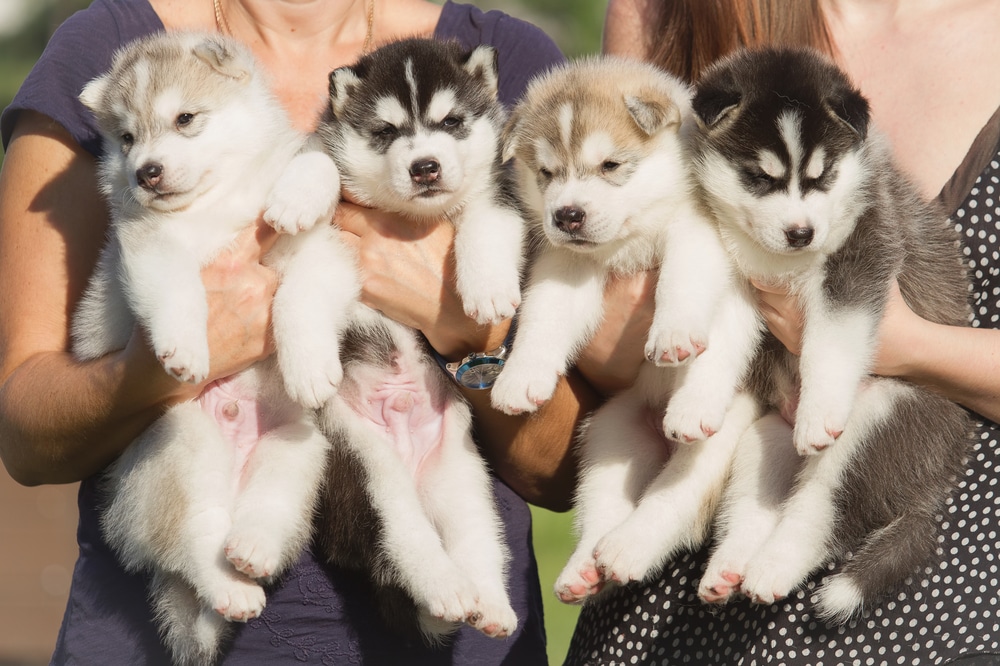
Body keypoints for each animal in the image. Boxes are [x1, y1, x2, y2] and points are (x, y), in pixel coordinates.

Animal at [312, 39, 524, 640]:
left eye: (451, 122)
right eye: (385, 132)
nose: (424, 165)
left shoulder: (501, 191)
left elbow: (487, 222)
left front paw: (488, 289)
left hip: (464, 476)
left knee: (477, 539)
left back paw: (487, 604)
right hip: (361, 467)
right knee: (399, 536)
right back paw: (444, 589)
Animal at [490, 58, 756, 600]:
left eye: (610, 166)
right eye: (546, 173)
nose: (567, 215)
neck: (631, 238)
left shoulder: (701, 230)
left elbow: (683, 279)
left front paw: (673, 335)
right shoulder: (565, 265)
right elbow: (544, 317)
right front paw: (520, 378)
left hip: (726, 432)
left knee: (675, 497)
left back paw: (631, 542)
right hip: (608, 436)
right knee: (604, 505)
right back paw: (585, 567)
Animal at [688, 48, 968, 624]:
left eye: (824, 176)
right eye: (759, 177)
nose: (801, 234)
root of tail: (935, 479)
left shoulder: (862, 253)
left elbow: (832, 342)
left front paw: (819, 412)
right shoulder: (739, 279)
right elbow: (719, 339)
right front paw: (694, 404)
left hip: (883, 420)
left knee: (821, 512)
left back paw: (772, 570)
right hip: (766, 439)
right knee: (762, 505)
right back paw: (730, 568)